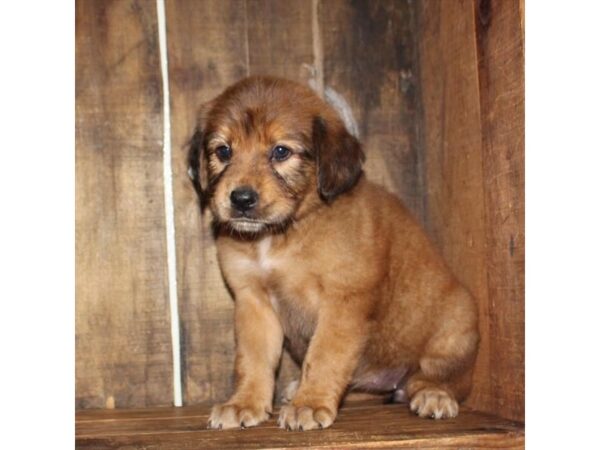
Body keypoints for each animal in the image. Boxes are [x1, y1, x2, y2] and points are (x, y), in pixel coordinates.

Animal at [190, 75, 480, 430]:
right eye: (223, 150)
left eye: (281, 151)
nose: (241, 199)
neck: (282, 234)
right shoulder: (253, 301)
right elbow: (253, 360)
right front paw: (244, 402)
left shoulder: (343, 301)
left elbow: (324, 356)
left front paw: (310, 404)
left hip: (456, 323)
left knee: (438, 379)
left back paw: (434, 395)